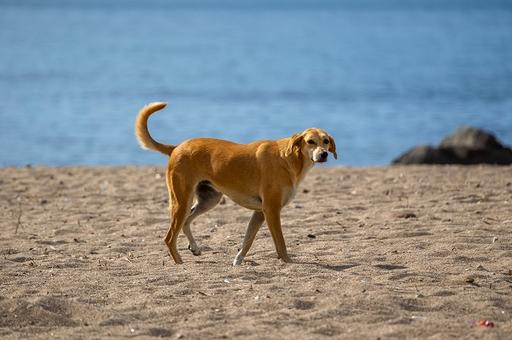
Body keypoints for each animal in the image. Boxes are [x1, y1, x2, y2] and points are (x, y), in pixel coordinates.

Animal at [134, 101, 338, 266]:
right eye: (310, 141)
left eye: (326, 141)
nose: (323, 154)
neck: (288, 159)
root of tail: (176, 147)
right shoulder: (271, 211)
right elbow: (280, 243)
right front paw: (288, 261)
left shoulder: (260, 213)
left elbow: (247, 241)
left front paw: (238, 261)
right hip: (182, 201)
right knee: (169, 237)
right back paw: (179, 263)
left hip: (208, 200)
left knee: (186, 221)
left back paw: (194, 247)